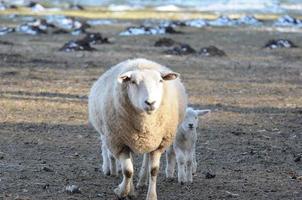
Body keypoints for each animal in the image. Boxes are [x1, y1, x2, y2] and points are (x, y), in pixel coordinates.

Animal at [88, 58, 186, 200]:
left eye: (160, 81)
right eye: (133, 82)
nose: (150, 103)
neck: (145, 124)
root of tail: (139, 61)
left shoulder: (159, 144)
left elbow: (154, 170)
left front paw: (151, 196)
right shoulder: (120, 143)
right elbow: (128, 171)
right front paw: (123, 192)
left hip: (148, 141)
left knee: (146, 159)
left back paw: (142, 181)